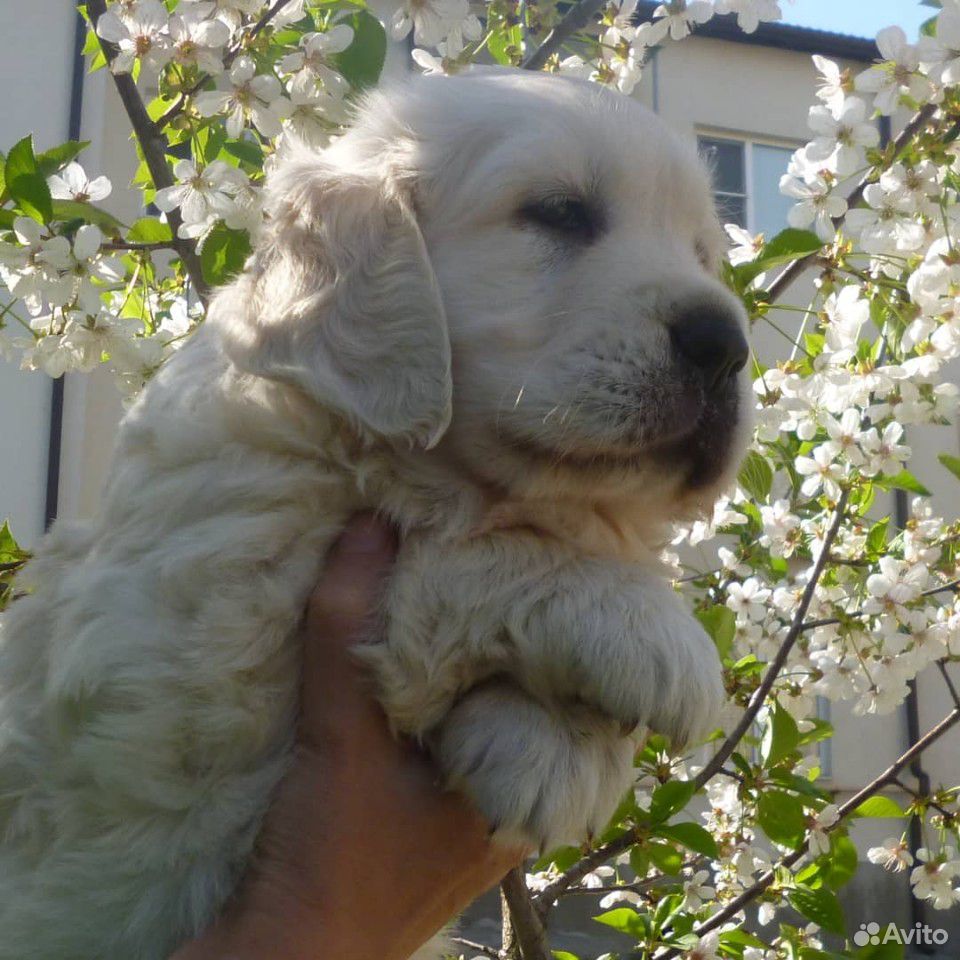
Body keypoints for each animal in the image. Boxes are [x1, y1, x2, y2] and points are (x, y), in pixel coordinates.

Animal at [0, 69, 752, 960]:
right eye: (559, 213)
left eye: (703, 254)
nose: (727, 345)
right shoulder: (207, 619)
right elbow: (453, 553)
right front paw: (642, 635)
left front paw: (546, 750)